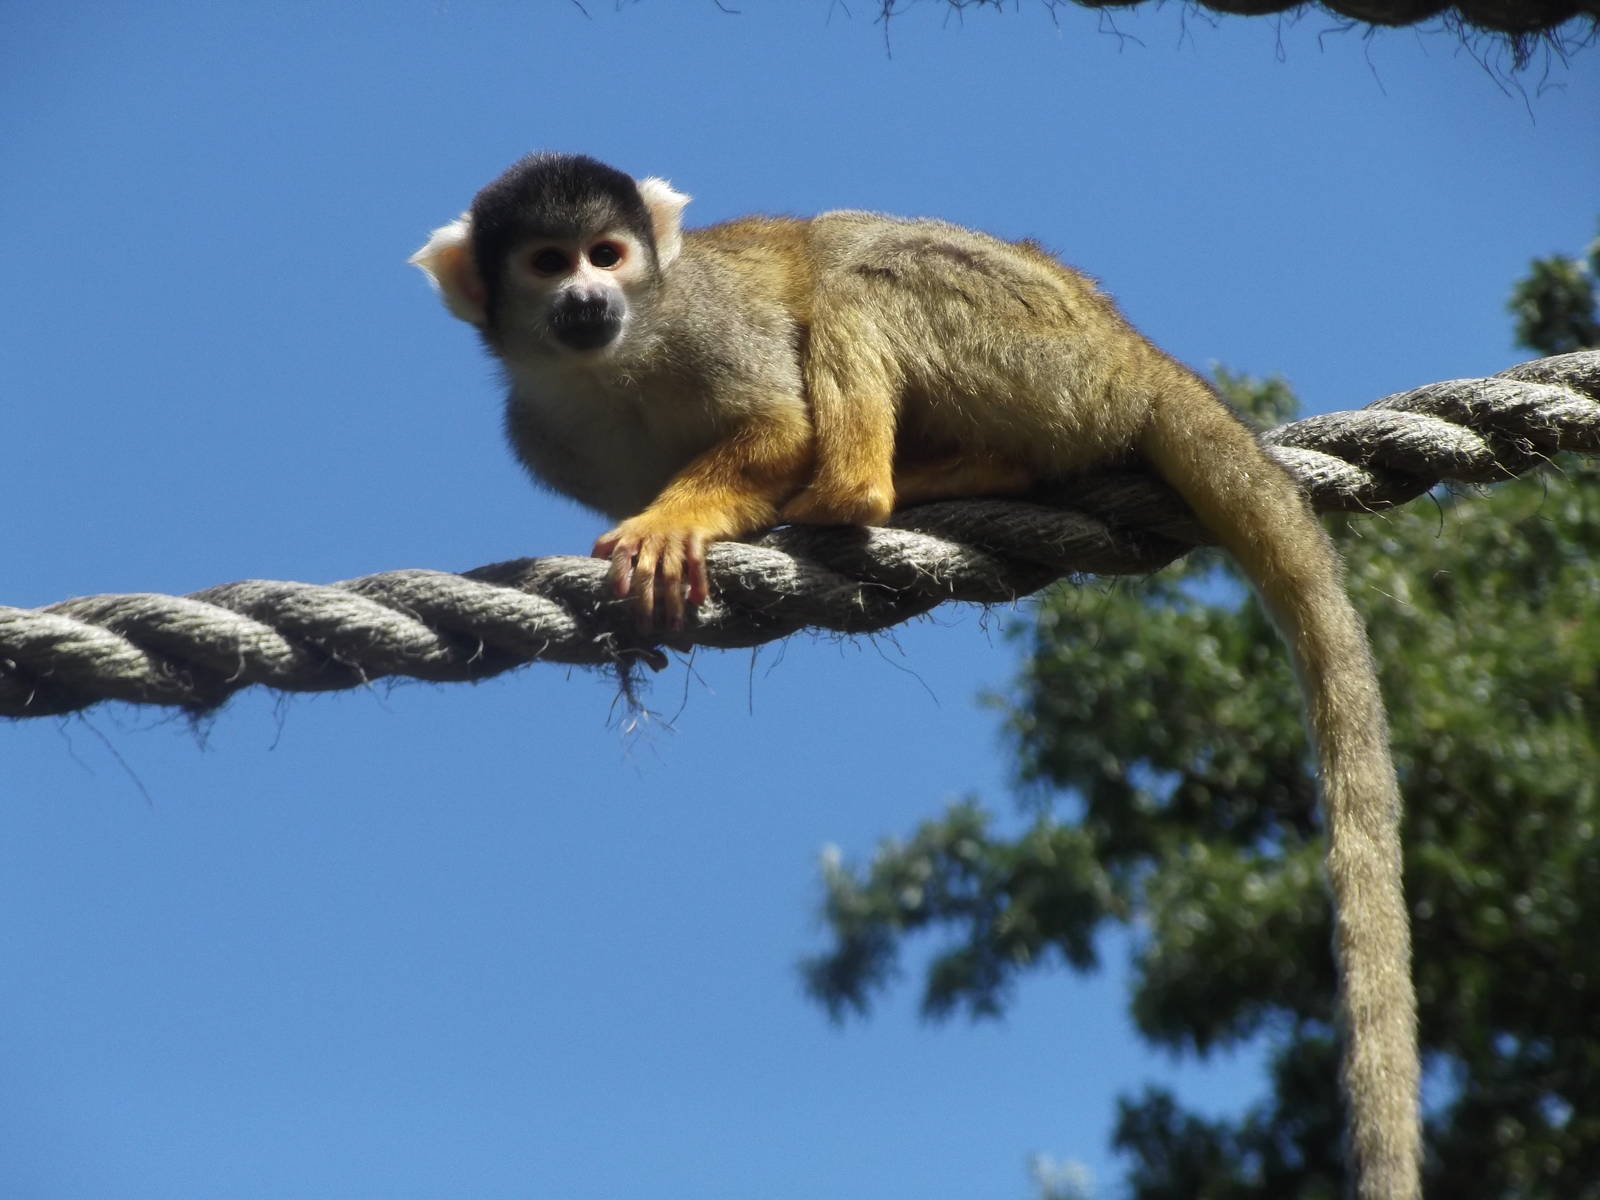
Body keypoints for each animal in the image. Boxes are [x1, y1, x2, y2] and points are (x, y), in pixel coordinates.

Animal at [411, 152, 1419, 1200]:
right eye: (546, 262)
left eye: (606, 254)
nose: (586, 296)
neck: (611, 365)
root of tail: (1139, 355)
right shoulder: (541, 433)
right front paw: (646, 623)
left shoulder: (704, 318)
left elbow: (779, 423)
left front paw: (675, 525)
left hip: (1041, 346)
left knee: (853, 267)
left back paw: (857, 490)